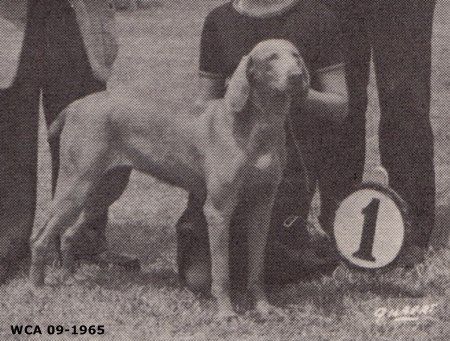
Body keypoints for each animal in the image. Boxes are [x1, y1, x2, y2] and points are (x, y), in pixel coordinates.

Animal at [29, 39, 310, 318]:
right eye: (271, 57)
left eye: (296, 56)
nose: (296, 76)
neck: (259, 126)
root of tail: (76, 105)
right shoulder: (218, 210)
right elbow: (221, 272)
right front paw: (226, 312)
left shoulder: (262, 206)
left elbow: (257, 268)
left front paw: (263, 307)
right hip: (75, 186)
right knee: (39, 238)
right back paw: (37, 287)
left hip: (106, 188)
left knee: (67, 233)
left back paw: (69, 277)